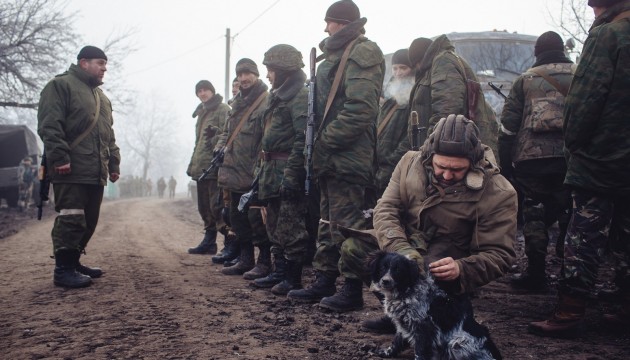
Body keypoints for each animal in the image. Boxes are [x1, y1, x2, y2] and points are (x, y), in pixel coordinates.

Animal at [368, 250, 502, 360]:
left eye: (398, 270)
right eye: (382, 268)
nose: (385, 281)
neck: (405, 292)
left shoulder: (424, 328)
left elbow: (420, 353)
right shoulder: (404, 322)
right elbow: (396, 341)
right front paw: (387, 353)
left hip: (456, 342)